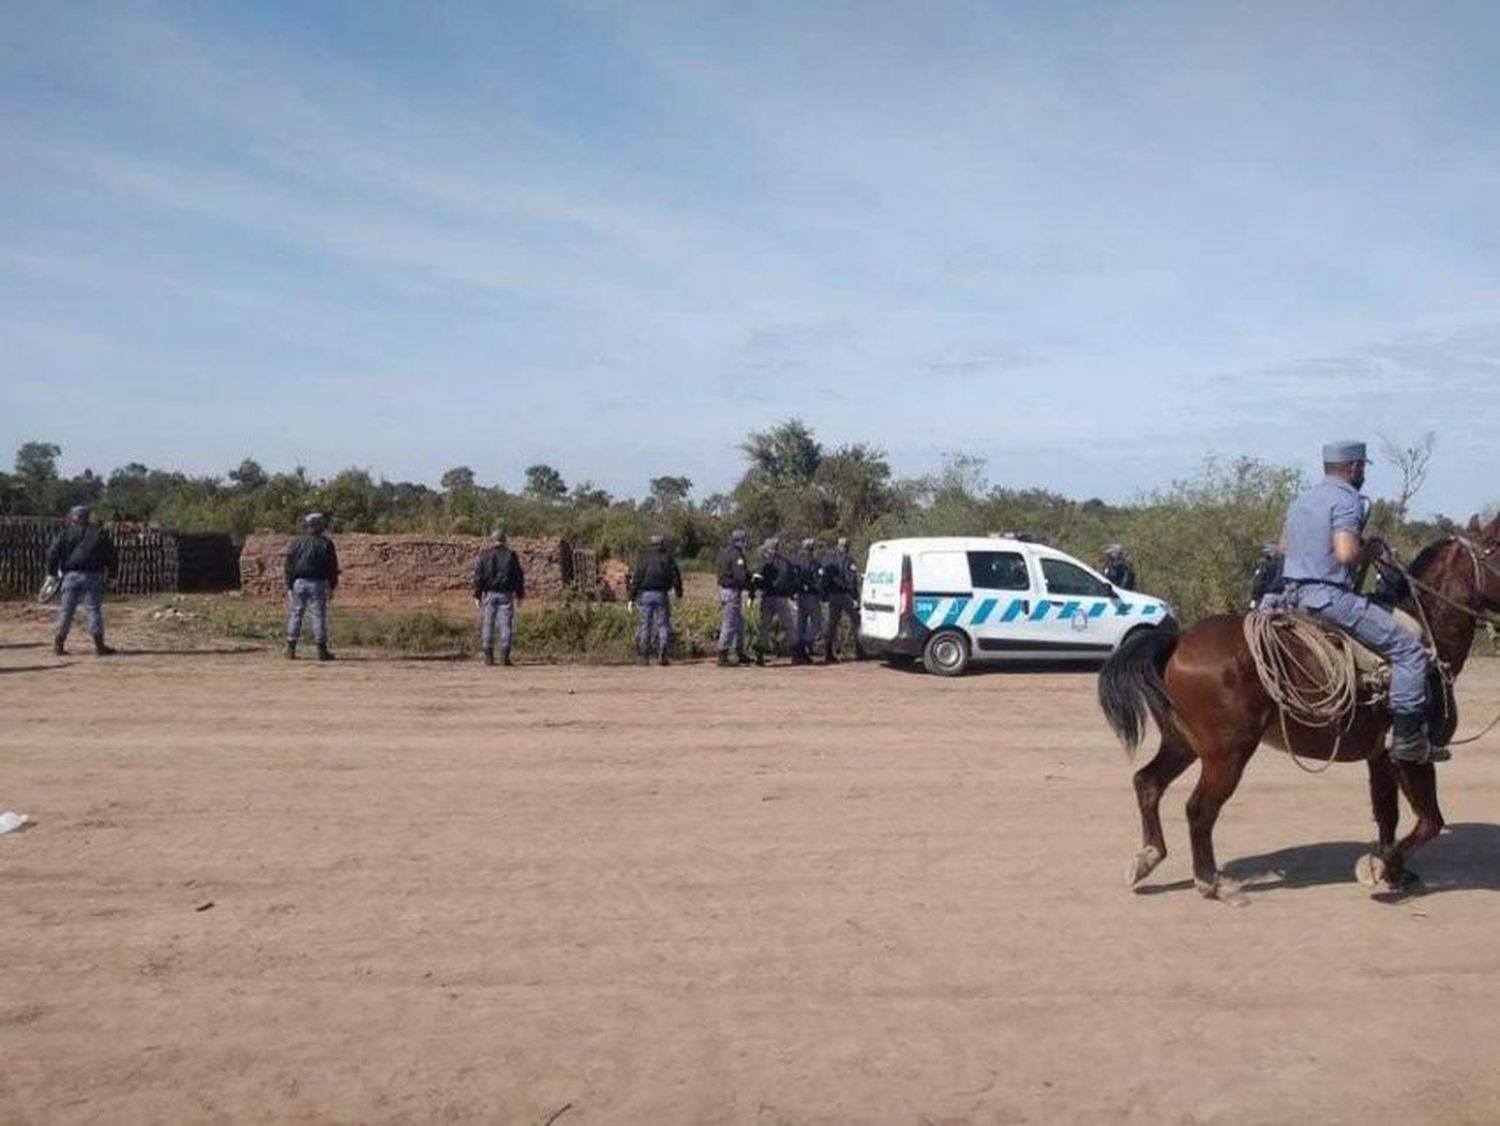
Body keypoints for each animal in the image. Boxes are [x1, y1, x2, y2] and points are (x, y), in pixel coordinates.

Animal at [1098, 518, 1500, 899]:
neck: (1430, 638)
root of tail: (1177, 639)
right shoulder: (1413, 755)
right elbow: (1429, 821)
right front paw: (1379, 868)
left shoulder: (1381, 756)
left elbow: (1388, 813)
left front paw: (1395, 872)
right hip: (1227, 753)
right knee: (1199, 809)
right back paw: (1209, 880)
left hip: (1183, 742)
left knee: (1148, 782)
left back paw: (1148, 857)